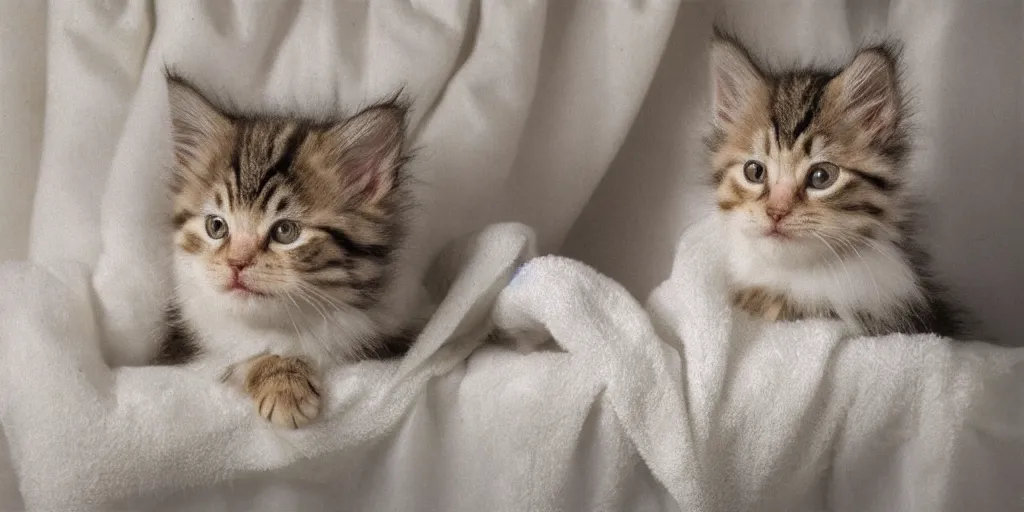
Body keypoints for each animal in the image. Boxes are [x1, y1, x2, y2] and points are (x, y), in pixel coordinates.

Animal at [153, 74, 417, 428]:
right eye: (216, 226)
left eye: (285, 231)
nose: (236, 263)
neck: (276, 327)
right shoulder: (190, 356)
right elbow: (239, 358)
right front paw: (282, 382)